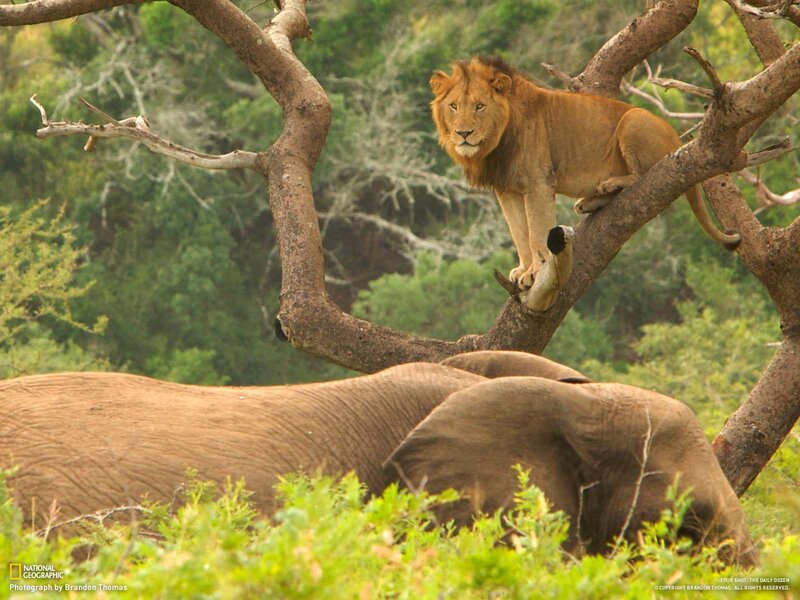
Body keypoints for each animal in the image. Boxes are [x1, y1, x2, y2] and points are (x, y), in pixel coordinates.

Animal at [430, 55, 740, 291]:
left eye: (480, 106)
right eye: (454, 106)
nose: (463, 133)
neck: (497, 141)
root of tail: (677, 138)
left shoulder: (538, 183)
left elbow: (537, 231)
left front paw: (537, 271)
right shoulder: (506, 191)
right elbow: (519, 232)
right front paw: (523, 269)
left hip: (633, 120)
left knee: (644, 175)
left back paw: (610, 184)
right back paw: (591, 200)